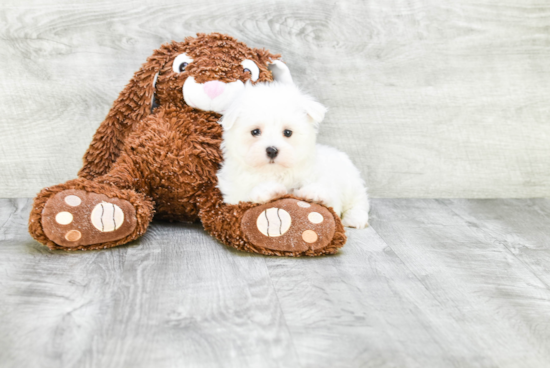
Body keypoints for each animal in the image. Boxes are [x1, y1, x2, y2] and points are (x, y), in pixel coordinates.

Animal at [217, 82, 370, 229]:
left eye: (288, 132)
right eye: (255, 132)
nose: (272, 150)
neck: (275, 172)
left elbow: (330, 200)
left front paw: (315, 192)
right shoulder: (233, 194)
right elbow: (243, 198)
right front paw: (268, 189)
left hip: (351, 181)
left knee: (359, 201)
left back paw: (355, 219)